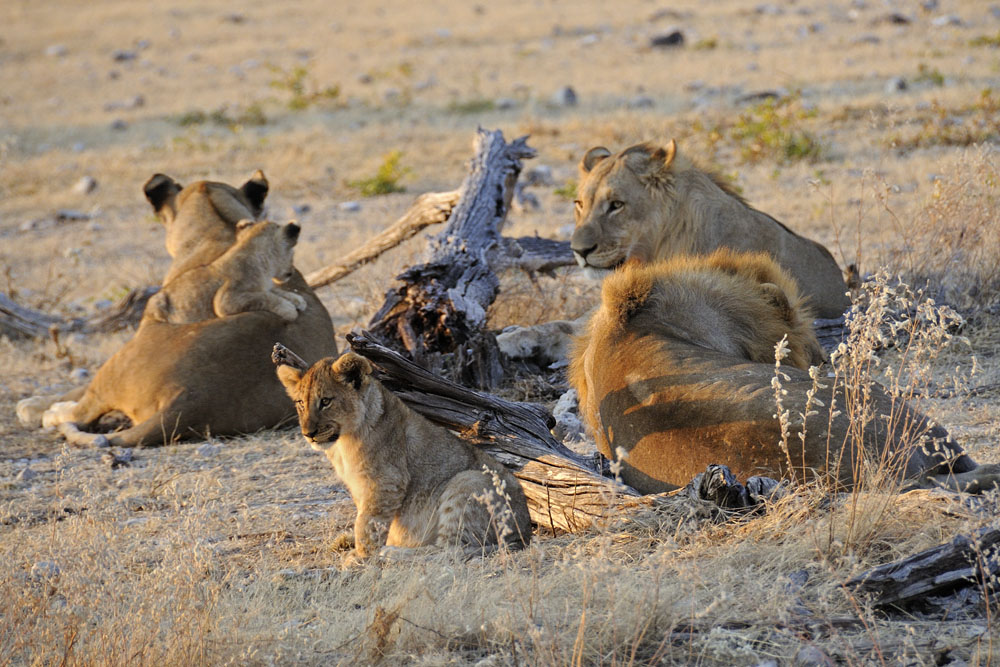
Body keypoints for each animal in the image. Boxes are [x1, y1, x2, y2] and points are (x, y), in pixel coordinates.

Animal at [145, 220, 307, 324]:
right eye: (293, 254)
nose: (292, 272)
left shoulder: (263, 286)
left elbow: (275, 291)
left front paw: (297, 300)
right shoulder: (225, 301)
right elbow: (264, 297)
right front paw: (288, 309)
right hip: (158, 302)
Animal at [274, 348, 533, 558]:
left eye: (326, 401)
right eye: (300, 403)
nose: (308, 433)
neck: (342, 444)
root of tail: (525, 534)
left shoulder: (387, 481)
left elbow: (368, 523)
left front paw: (361, 558)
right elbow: (365, 519)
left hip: (468, 481)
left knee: (452, 551)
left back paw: (393, 554)